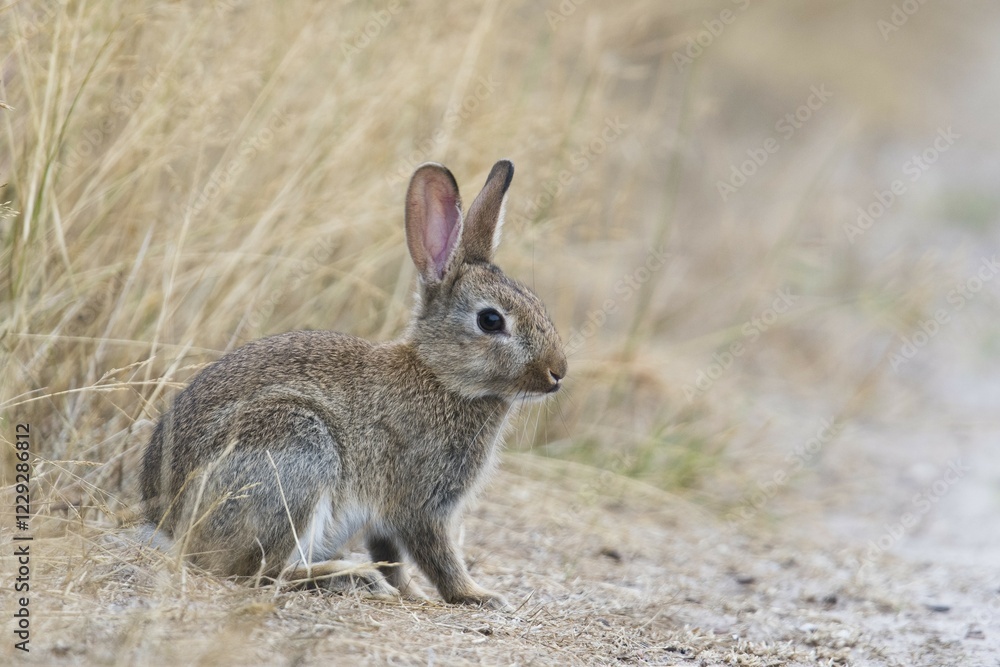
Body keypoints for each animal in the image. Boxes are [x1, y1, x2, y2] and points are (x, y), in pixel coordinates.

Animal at [139, 159, 567, 609]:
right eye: (490, 320)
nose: (558, 371)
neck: (440, 377)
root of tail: (166, 524)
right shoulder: (421, 501)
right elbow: (436, 555)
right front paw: (477, 595)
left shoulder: (387, 516)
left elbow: (391, 554)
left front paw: (414, 593)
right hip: (296, 451)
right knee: (258, 571)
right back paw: (353, 578)